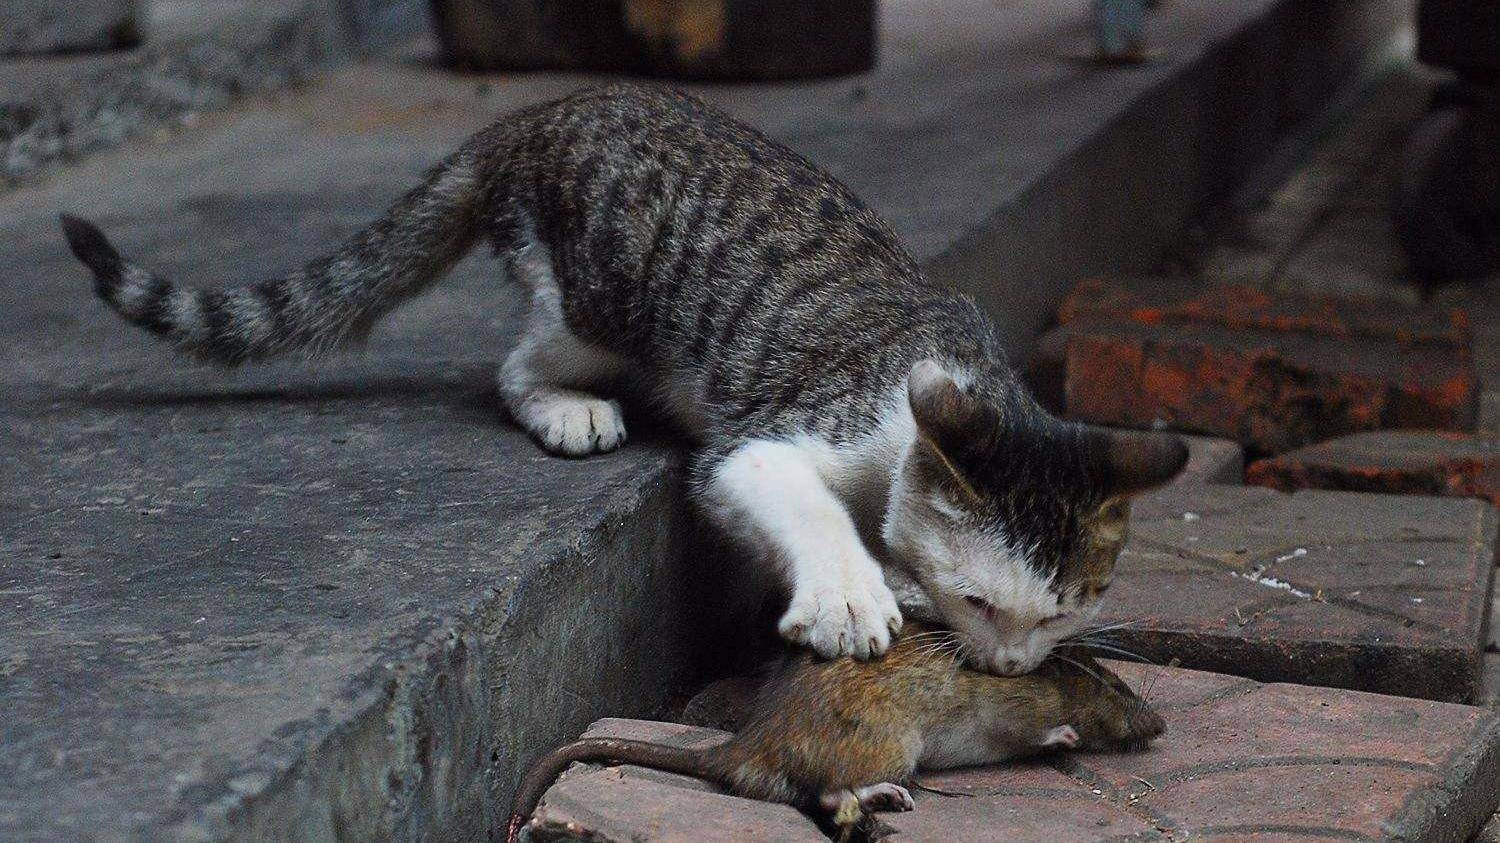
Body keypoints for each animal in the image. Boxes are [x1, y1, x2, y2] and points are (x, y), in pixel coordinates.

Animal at [58, 85, 1188, 672]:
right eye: (981, 599)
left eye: (1059, 615)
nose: (1010, 666)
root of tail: (544, 108)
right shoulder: (769, 440)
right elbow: (792, 497)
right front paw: (851, 589)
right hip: (597, 299)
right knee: (518, 362)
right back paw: (566, 408)